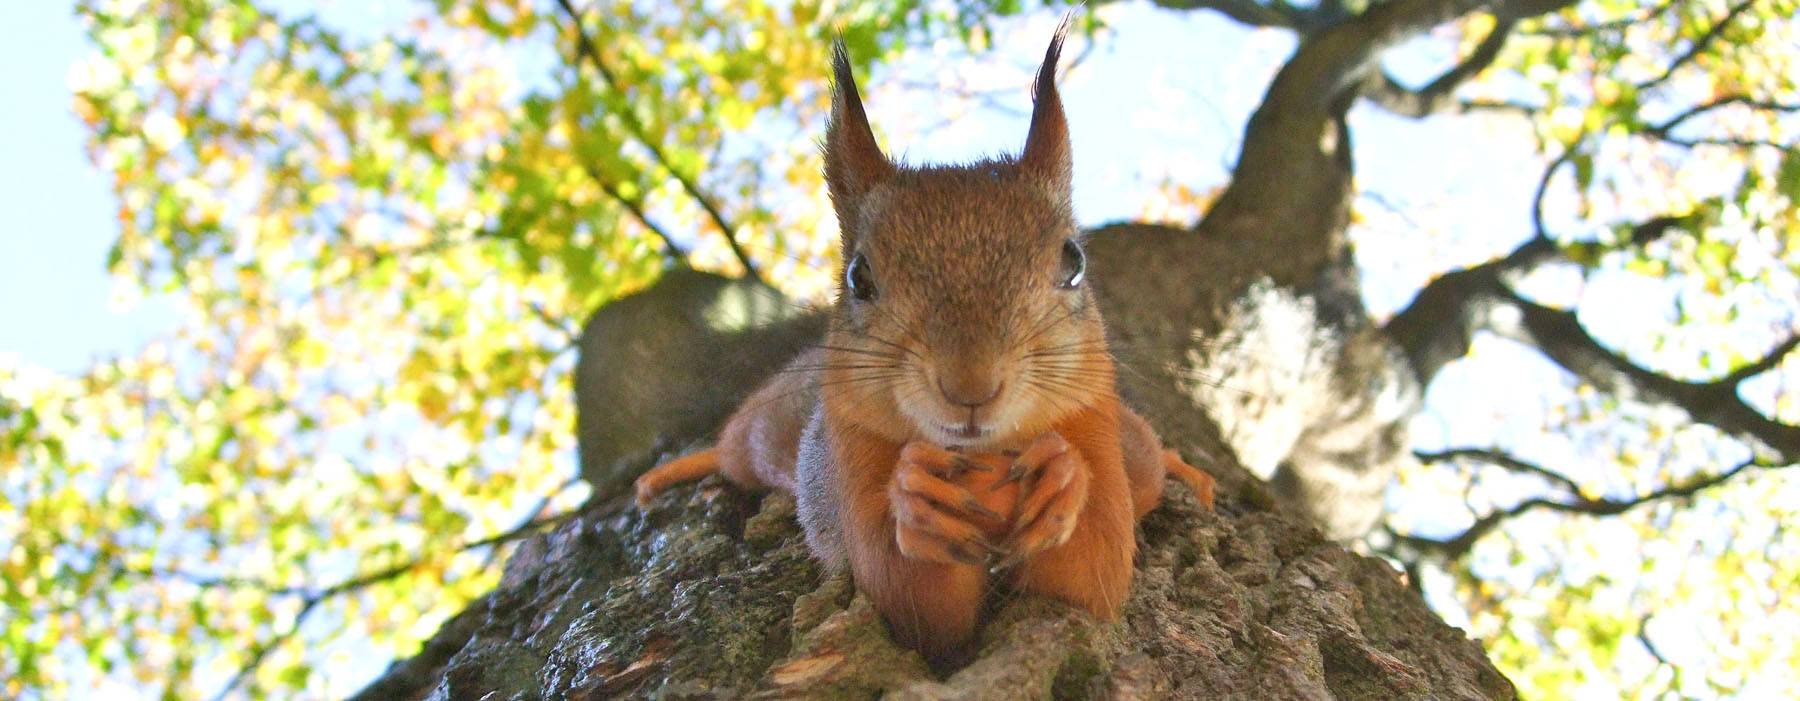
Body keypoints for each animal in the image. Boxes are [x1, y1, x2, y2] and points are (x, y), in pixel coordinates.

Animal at [626, 21, 1216, 663]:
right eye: (858, 277)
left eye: (1074, 262)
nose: (970, 387)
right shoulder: (852, 458)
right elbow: (914, 604)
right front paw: (916, 499)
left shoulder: (1094, 427)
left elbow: (1092, 576)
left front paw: (1063, 476)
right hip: (766, 432)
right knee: (734, 449)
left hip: (1133, 449)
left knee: (1150, 459)